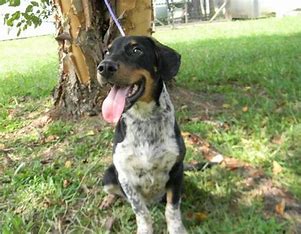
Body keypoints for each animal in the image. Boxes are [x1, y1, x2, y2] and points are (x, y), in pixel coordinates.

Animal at [97, 35, 186, 234]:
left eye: (136, 50)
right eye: (107, 51)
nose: (104, 67)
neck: (144, 120)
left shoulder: (176, 171)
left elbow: (172, 209)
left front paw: (176, 228)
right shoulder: (125, 177)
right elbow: (141, 211)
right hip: (108, 175)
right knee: (115, 192)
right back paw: (108, 200)